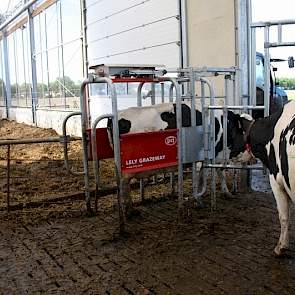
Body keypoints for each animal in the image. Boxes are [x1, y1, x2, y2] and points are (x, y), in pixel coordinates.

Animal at [108, 102, 245, 217]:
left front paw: (225, 193)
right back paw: (130, 211)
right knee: (124, 186)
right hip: (125, 170)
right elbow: (211, 176)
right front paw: (199, 199)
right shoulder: (211, 157)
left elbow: (211, 176)